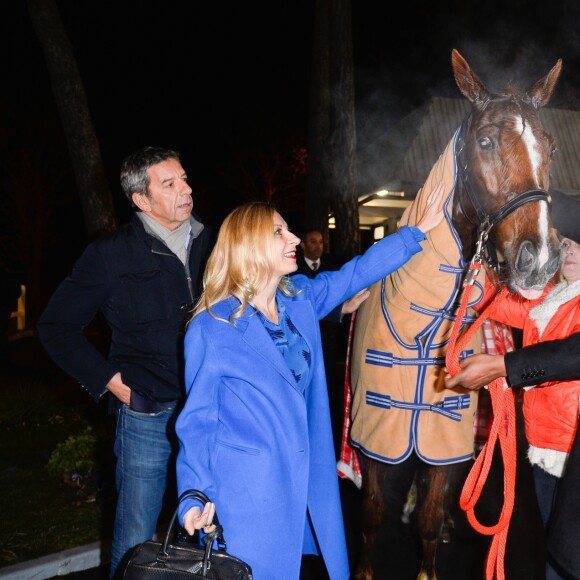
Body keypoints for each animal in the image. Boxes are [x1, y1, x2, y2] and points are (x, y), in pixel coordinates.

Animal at [348, 51, 560, 580]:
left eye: (548, 146)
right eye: (484, 141)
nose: (541, 259)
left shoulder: (444, 438)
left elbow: (429, 515)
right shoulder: (374, 434)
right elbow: (373, 511)